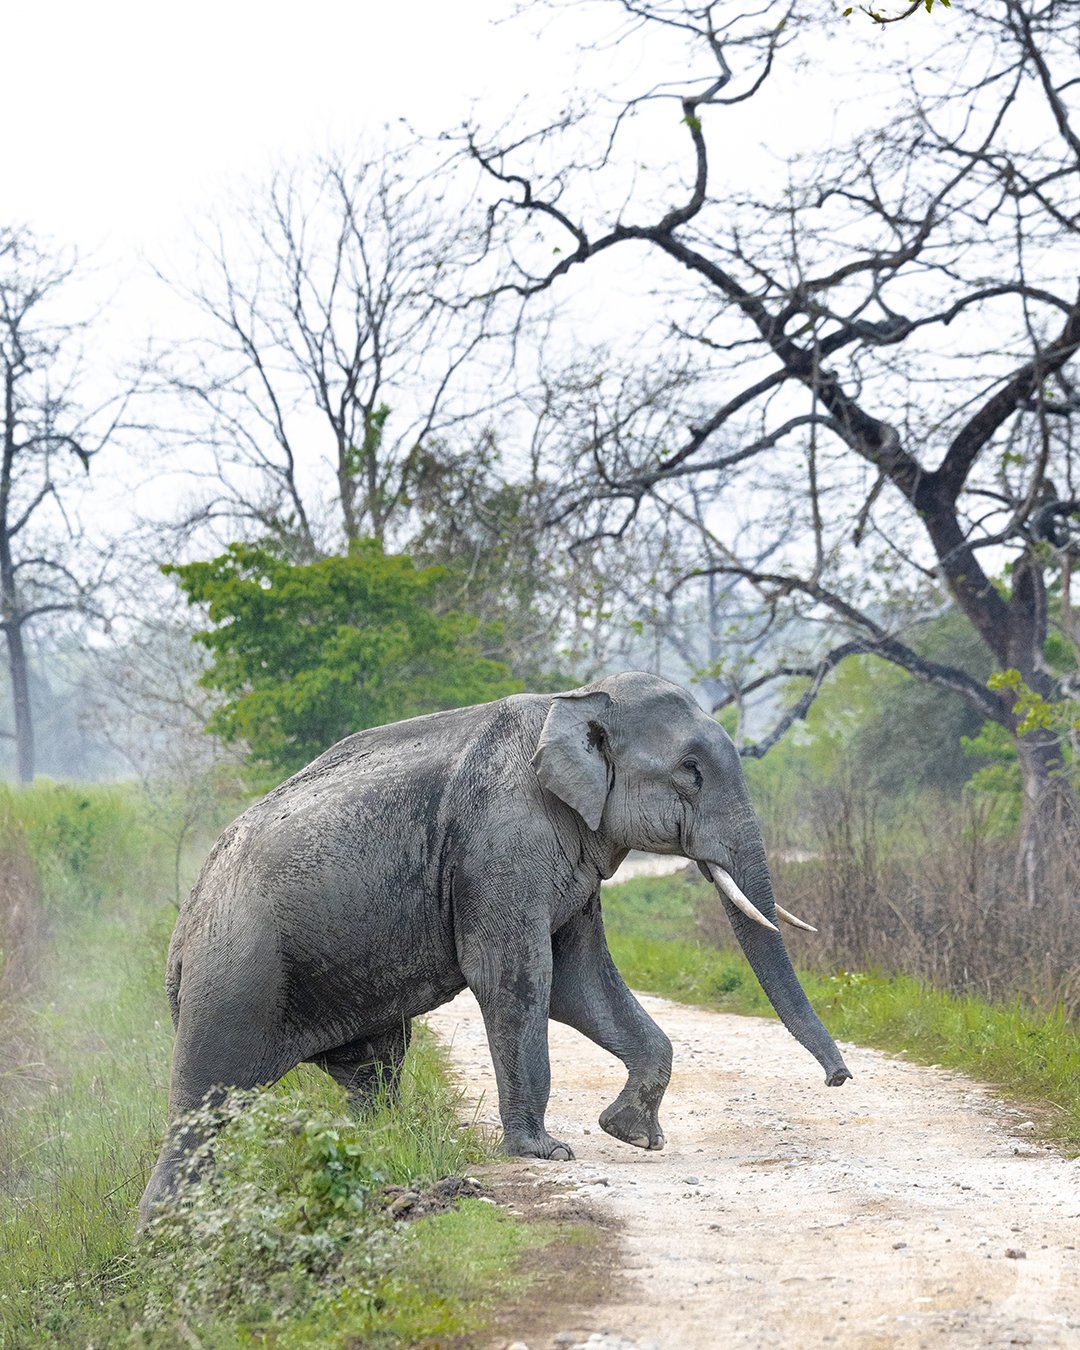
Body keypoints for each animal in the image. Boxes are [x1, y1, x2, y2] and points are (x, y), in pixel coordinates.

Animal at [138, 671, 850, 1226]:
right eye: (691, 774)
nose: (838, 1079)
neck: (576, 699)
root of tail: (182, 931)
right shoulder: (504, 844)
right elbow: (516, 976)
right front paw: (548, 1153)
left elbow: (579, 982)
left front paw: (632, 1136)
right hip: (237, 973)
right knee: (206, 1103)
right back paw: (166, 1234)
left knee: (372, 1068)